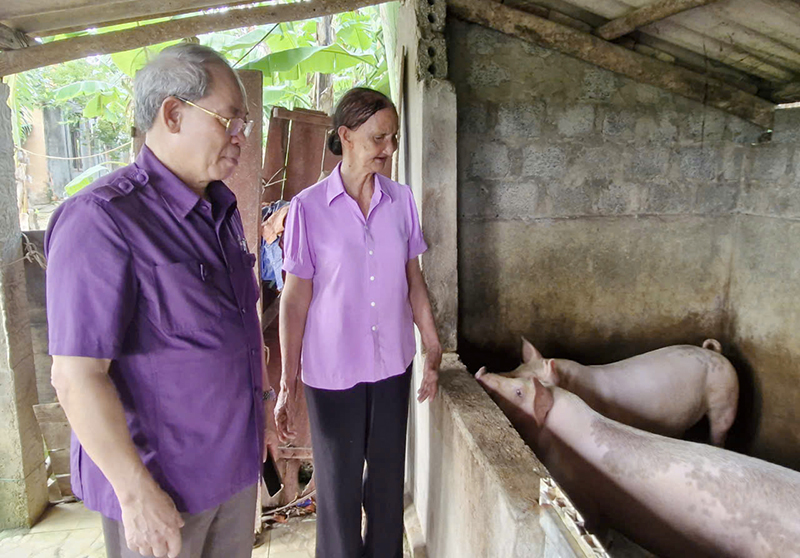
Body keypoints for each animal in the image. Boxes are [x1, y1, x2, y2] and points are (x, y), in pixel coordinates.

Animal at [506, 336, 736, 446]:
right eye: (516, 368)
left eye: (529, 380)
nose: (498, 373)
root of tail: (713, 352)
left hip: (726, 398)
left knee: (719, 428)